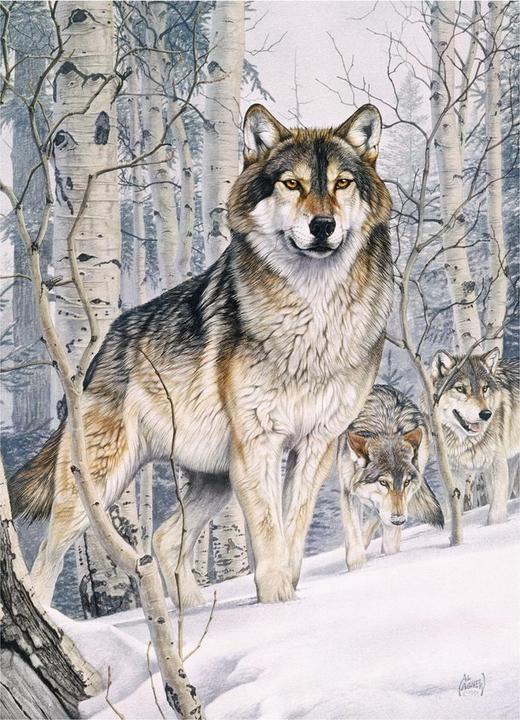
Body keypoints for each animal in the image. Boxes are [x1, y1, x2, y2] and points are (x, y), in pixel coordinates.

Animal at [10, 102, 394, 607]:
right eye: (292, 184)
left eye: (342, 183)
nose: (322, 226)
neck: (314, 314)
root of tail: (99, 353)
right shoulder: (258, 444)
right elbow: (269, 533)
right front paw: (275, 604)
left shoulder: (317, 442)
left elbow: (293, 530)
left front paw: (289, 600)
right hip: (98, 486)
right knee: (45, 565)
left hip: (216, 480)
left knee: (163, 538)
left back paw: (191, 613)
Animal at [338, 385, 444, 570]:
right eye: (383, 482)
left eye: (406, 482)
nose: (399, 520)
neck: (386, 429)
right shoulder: (348, 492)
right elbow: (354, 545)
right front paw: (357, 569)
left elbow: (390, 547)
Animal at [431, 347, 520, 525]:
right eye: (460, 389)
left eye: (484, 389)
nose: (486, 414)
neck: (464, 440)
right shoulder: (453, 472)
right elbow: (455, 510)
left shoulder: (497, 464)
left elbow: (495, 512)